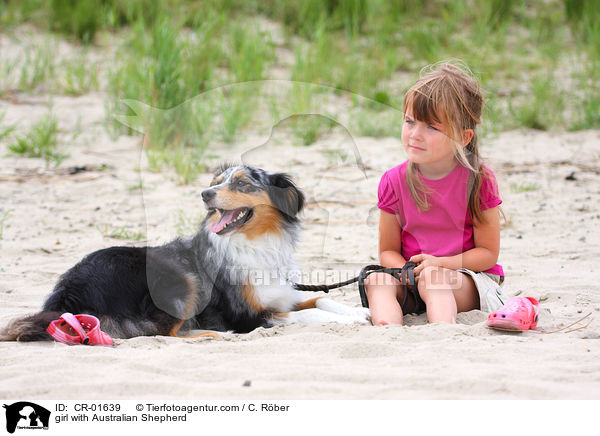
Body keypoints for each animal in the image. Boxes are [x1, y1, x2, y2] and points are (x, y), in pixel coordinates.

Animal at [0, 163, 370, 340]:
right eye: (217, 182)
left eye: (242, 183)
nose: (205, 193)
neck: (255, 241)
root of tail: (67, 291)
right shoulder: (251, 314)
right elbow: (307, 316)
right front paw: (351, 320)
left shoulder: (279, 295)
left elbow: (320, 300)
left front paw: (358, 312)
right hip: (180, 277)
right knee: (167, 332)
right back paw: (217, 335)